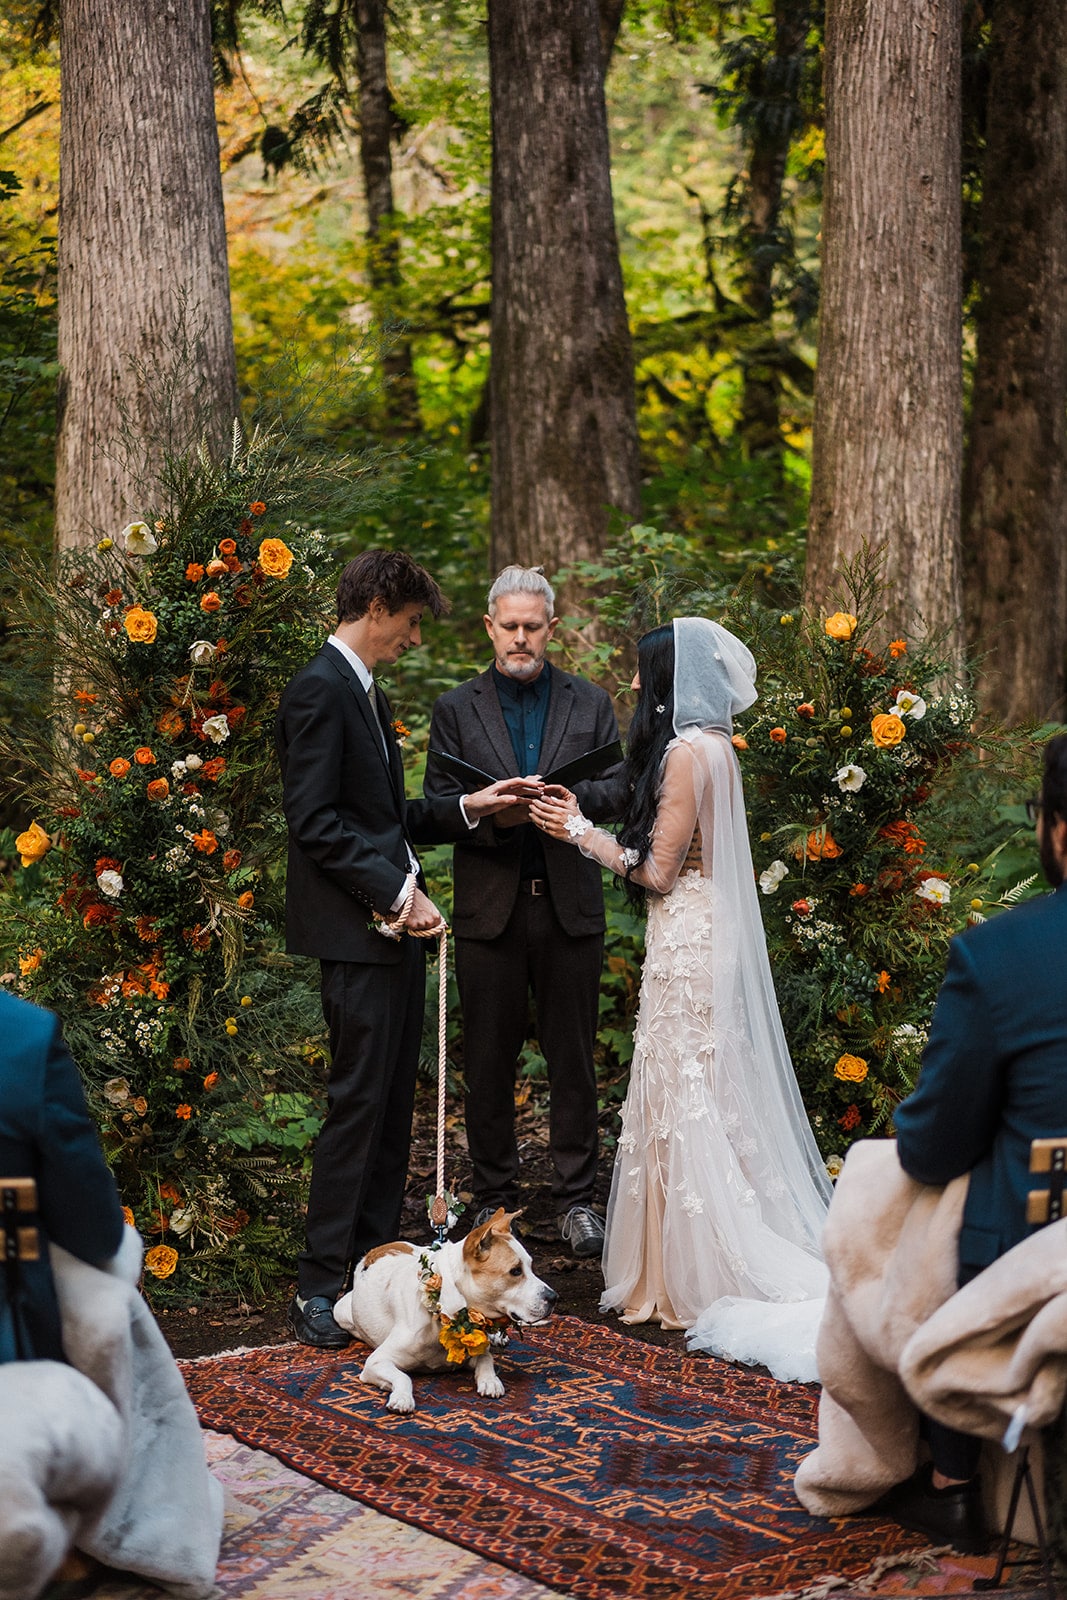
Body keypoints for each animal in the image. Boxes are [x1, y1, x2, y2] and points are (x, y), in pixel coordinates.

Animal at [334, 1209, 559, 1414]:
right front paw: (402, 1397)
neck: (443, 1316)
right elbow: (403, 1376)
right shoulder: (376, 1362)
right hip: (340, 1311)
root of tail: (376, 1250)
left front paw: (490, 1380)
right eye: (515, 1271)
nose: (554, 1297)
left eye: (530, 1266)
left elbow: (486, 1358)